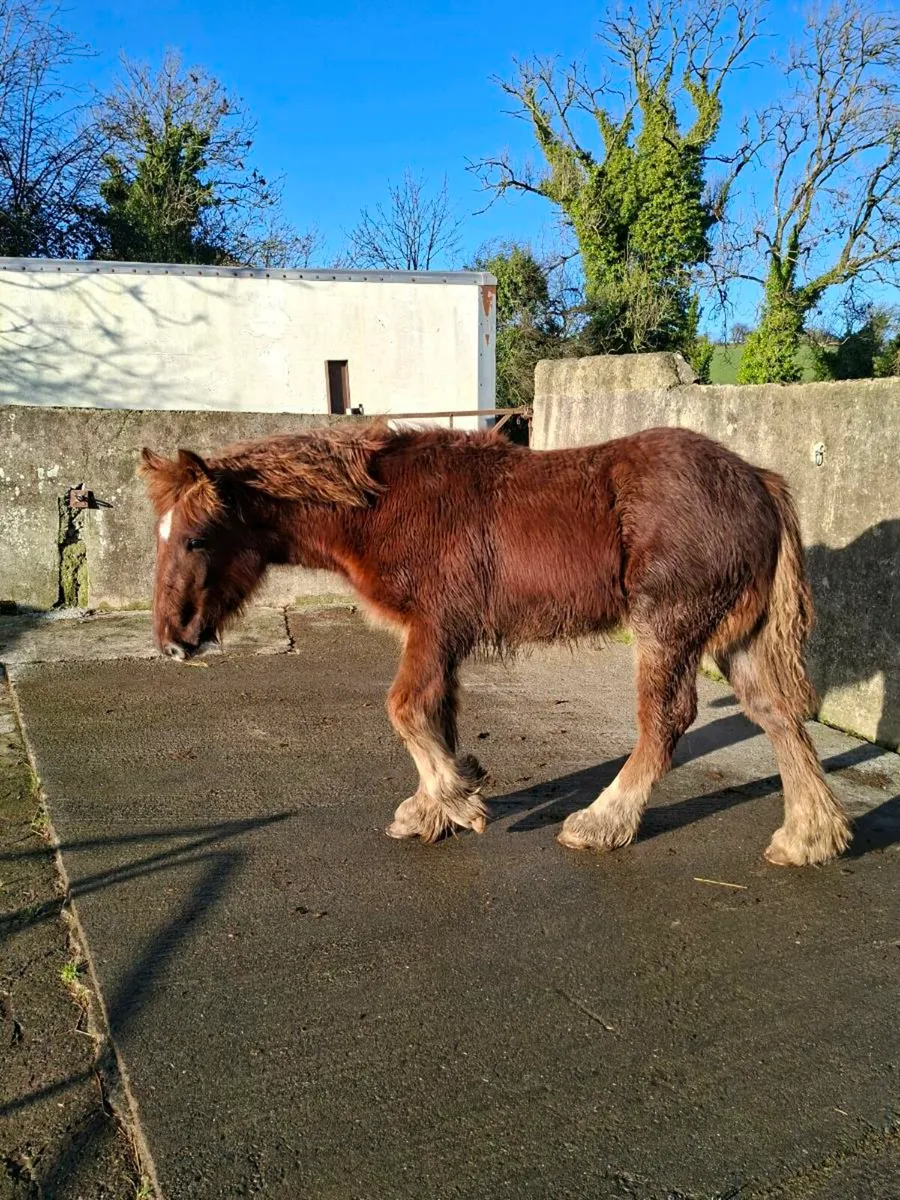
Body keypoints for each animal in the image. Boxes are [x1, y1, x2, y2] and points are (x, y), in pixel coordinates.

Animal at [139, 422, 851, 867]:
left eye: (196, 537)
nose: (172, 643)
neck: (384, 505)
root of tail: (758, 480)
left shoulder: (435, 627)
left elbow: (405, 709)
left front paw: (454, 802)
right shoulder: (439, 641)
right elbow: (438, 714)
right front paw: (439, 805)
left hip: (667, 626)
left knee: (667, 720)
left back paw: (600, 823)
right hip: (736, 637)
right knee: (776, 714)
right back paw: (810, 837)